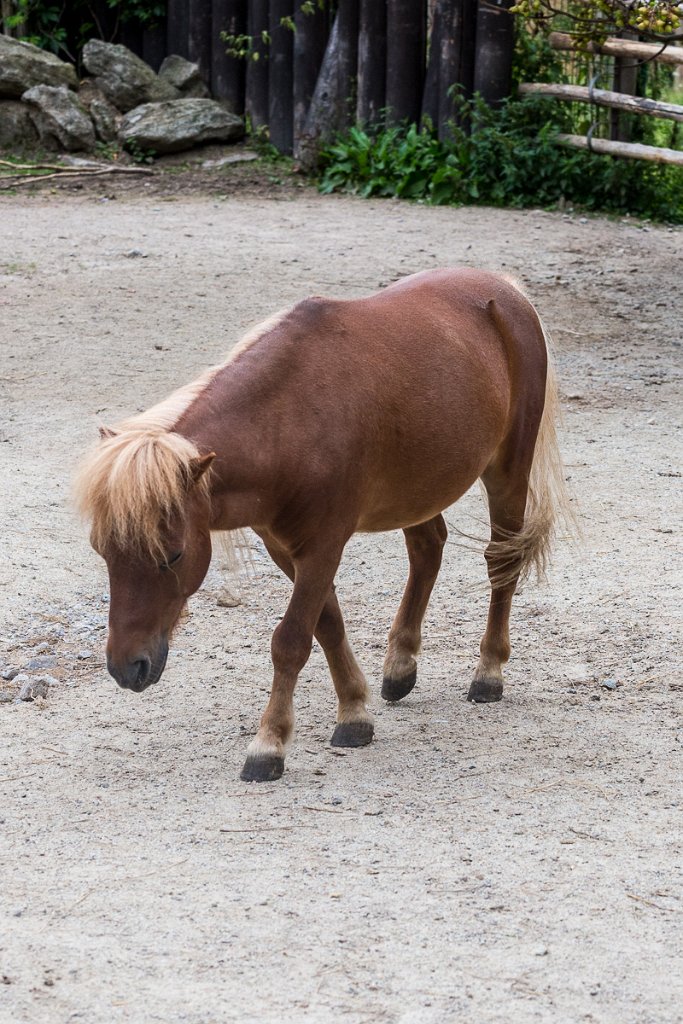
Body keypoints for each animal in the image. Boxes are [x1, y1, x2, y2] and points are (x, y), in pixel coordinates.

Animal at [74, 270, 573, 782]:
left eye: (172, 555)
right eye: (102, 551)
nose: (125, 667)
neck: (289, 418)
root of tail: (505, 289)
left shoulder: (323, 546)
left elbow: (292, 640)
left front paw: (269, 745)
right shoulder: (286, 548)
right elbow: (328, 626)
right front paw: (354, 714)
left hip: (508, 471)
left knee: (501, 564)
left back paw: (488, 673)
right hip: (417, 491)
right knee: (427, 550)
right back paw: (399, 667)